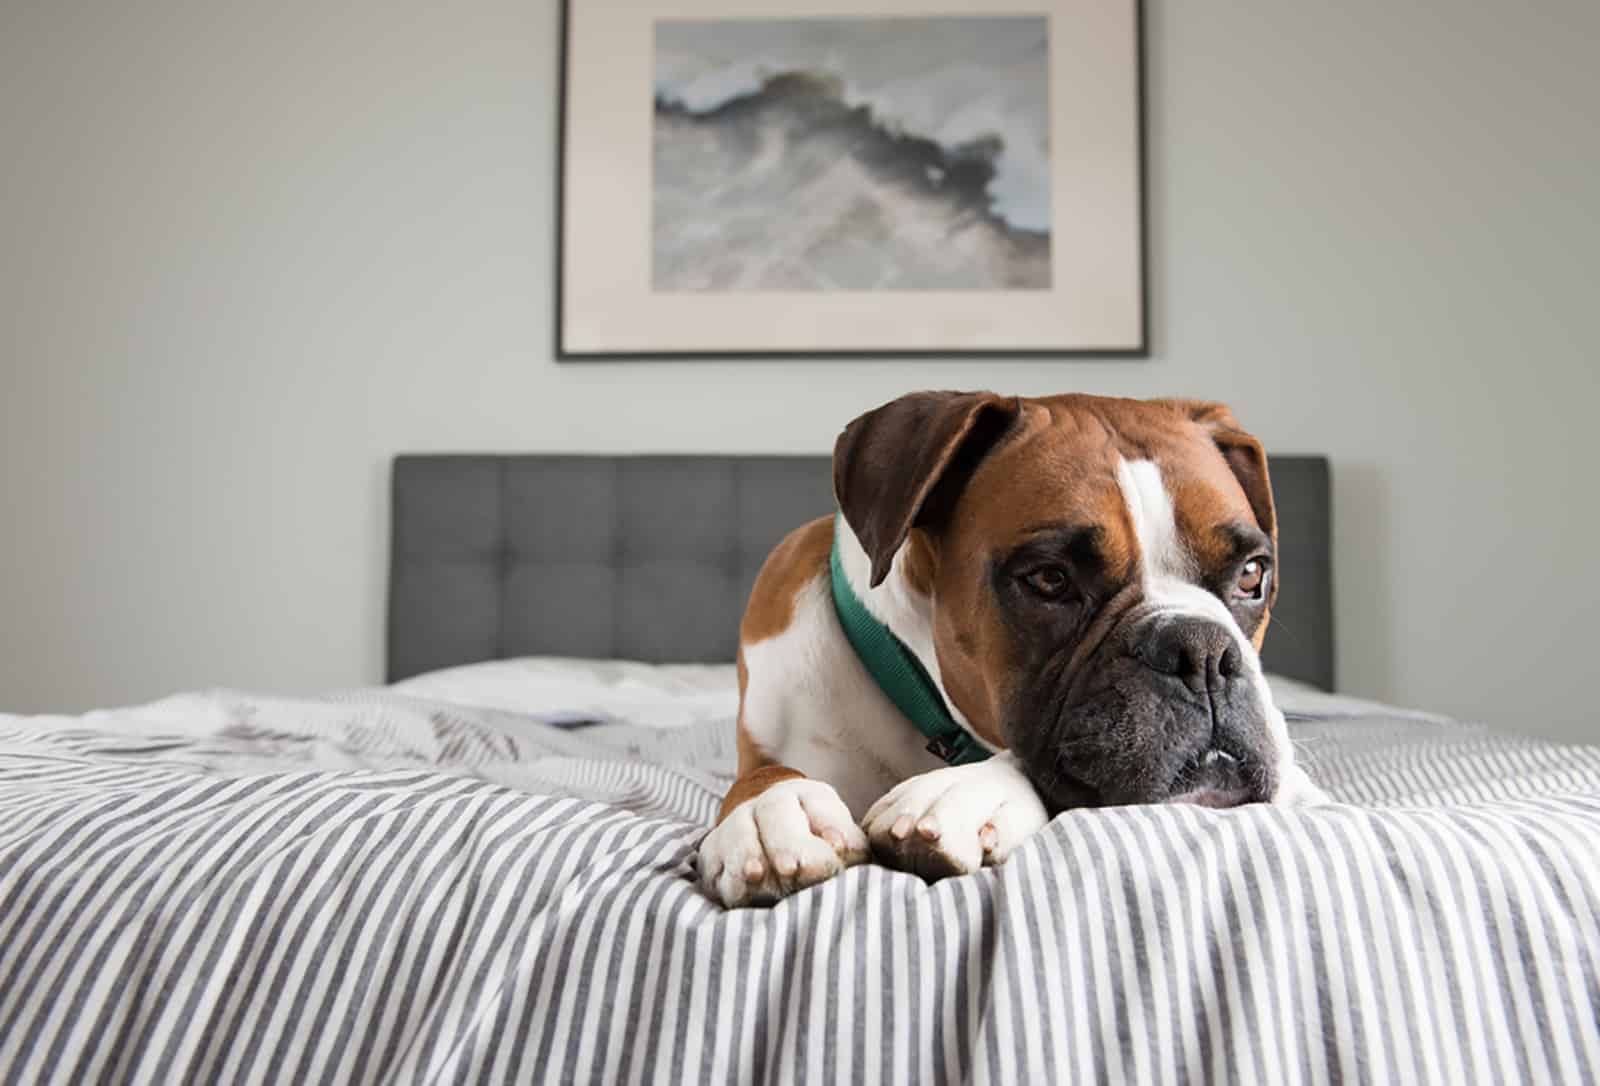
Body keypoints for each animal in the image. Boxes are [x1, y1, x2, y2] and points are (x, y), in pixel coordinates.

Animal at [697, 393, 1324, 908]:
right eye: (1049, 579)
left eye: (1252, 574)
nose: (1201, 652)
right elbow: (763, 774)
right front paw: (771, 813)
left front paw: (965, 792)